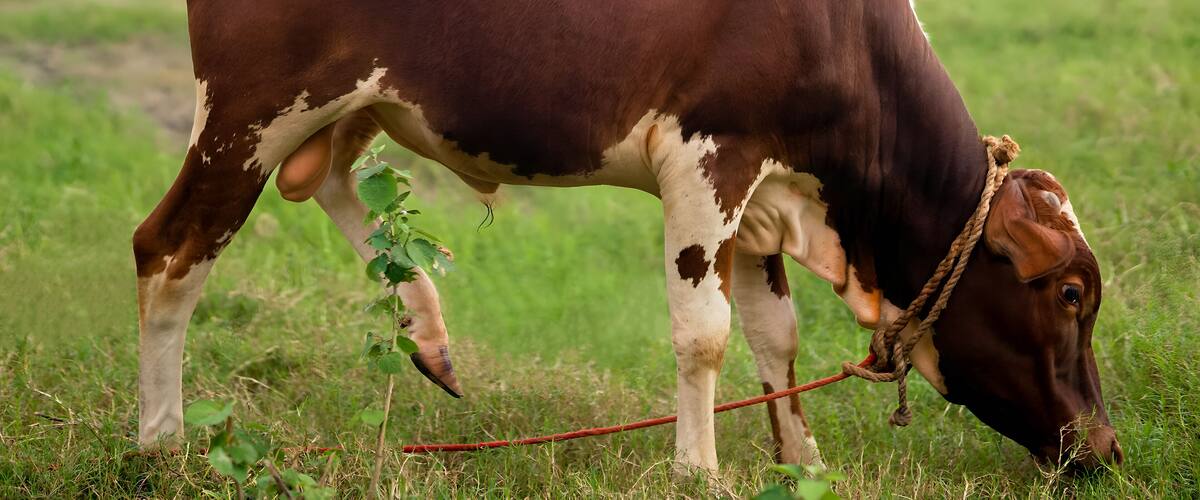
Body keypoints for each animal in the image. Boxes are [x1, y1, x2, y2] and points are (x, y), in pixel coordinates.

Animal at [133, 0, 1122, 474]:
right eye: (1072, 294)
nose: (1107, 449)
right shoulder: (707, 157)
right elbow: (705, 334)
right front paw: (700, 468)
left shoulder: (762, 195)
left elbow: (774, 336)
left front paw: (801, 459)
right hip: (252, 105)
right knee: (169, 249)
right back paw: (161, 442)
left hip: (352, 103)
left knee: (327, 181)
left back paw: (428, 332)